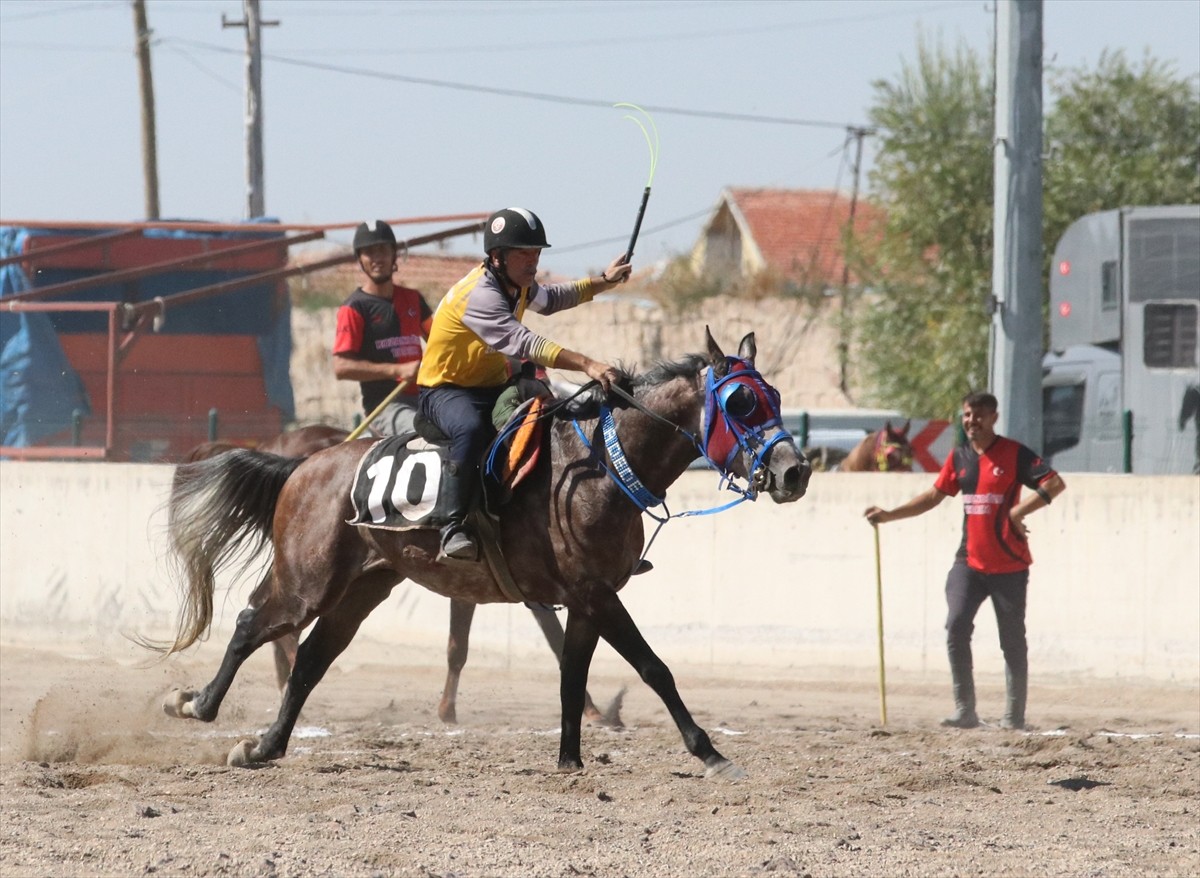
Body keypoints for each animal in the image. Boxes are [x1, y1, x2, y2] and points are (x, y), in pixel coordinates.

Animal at [184, 424, 628, 729]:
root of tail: (298, 463)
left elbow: (548, 639)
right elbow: (464, 646)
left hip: (335, 579)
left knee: (274, 621)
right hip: (309, 580)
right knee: (264, 622)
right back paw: (208, 701)